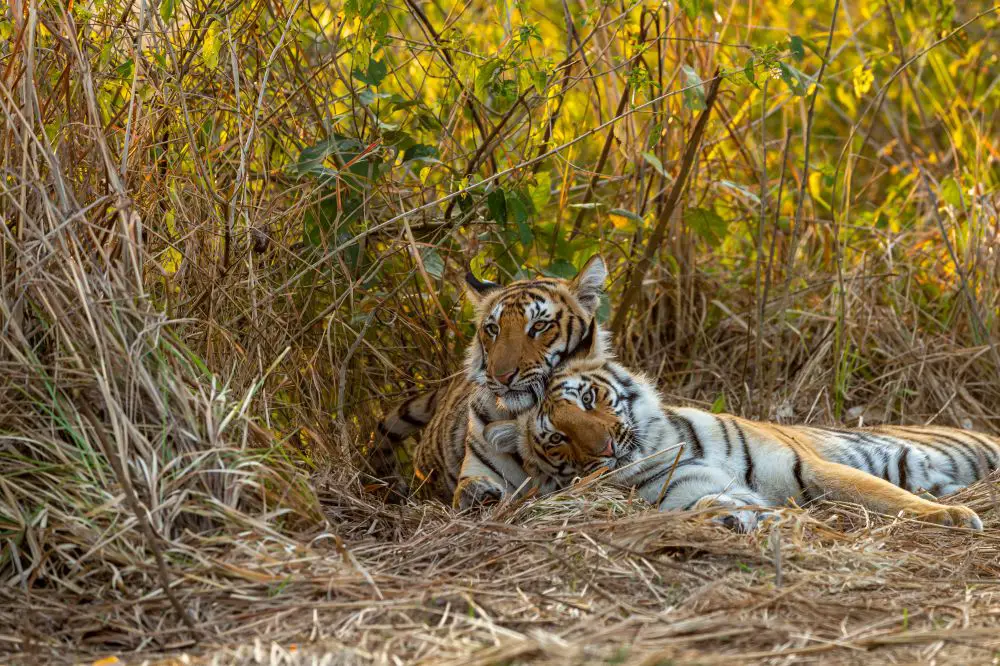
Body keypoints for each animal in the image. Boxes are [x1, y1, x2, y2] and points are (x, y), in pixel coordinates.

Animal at [482, 334, 992, 532]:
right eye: (557, 438)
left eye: (588, 399)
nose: (605, 446)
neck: (663, 448)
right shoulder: (689, 489)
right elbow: (711, 501)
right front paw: (727, 517)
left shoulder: (813, 468)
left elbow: (886, 495)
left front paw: (952, 517)